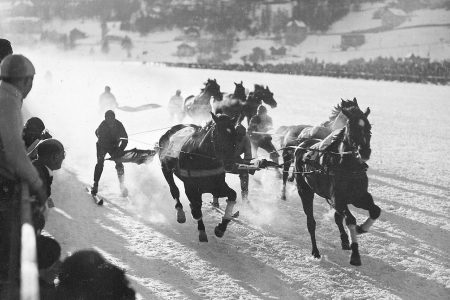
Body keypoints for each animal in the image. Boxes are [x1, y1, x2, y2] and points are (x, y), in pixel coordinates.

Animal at [158, 112, 237, 241]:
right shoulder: (191, 187)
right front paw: (202, 231)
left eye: (235, 135)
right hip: (165, 168)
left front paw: (221, 227)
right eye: (218, 136)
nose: (230, 163)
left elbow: (232, 195)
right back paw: (180, 212)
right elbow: (196, 208)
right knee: (174, 190)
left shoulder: (216, 186)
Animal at [292, 101, 380, 264]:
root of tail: (302, 144)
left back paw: (344, 240)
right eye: (352, 129)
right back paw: (315, 251)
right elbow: (350, 219)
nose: (365, 152)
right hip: (305, 191)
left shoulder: (359, 197)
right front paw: (355, 254)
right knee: (311, 222)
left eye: (369, 129)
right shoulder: (338, 199)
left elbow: (375, 210)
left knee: (337, 217)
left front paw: (361, 229)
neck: (348, 168)